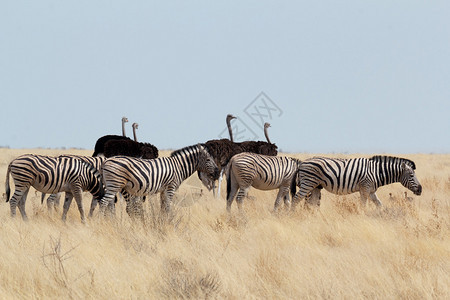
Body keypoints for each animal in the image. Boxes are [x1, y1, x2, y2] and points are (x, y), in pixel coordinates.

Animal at [290, 155, 424, 209]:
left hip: (316, 186)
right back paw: (292, 215)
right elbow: (363, 205)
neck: (376, 172)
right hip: (308, 183)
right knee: (296, 199)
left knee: (311, 203)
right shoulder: (365, 188)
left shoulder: (371, 191)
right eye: (411, 175)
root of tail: (301, 163)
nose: (420, 190)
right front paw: (362, 216)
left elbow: (379, 204)